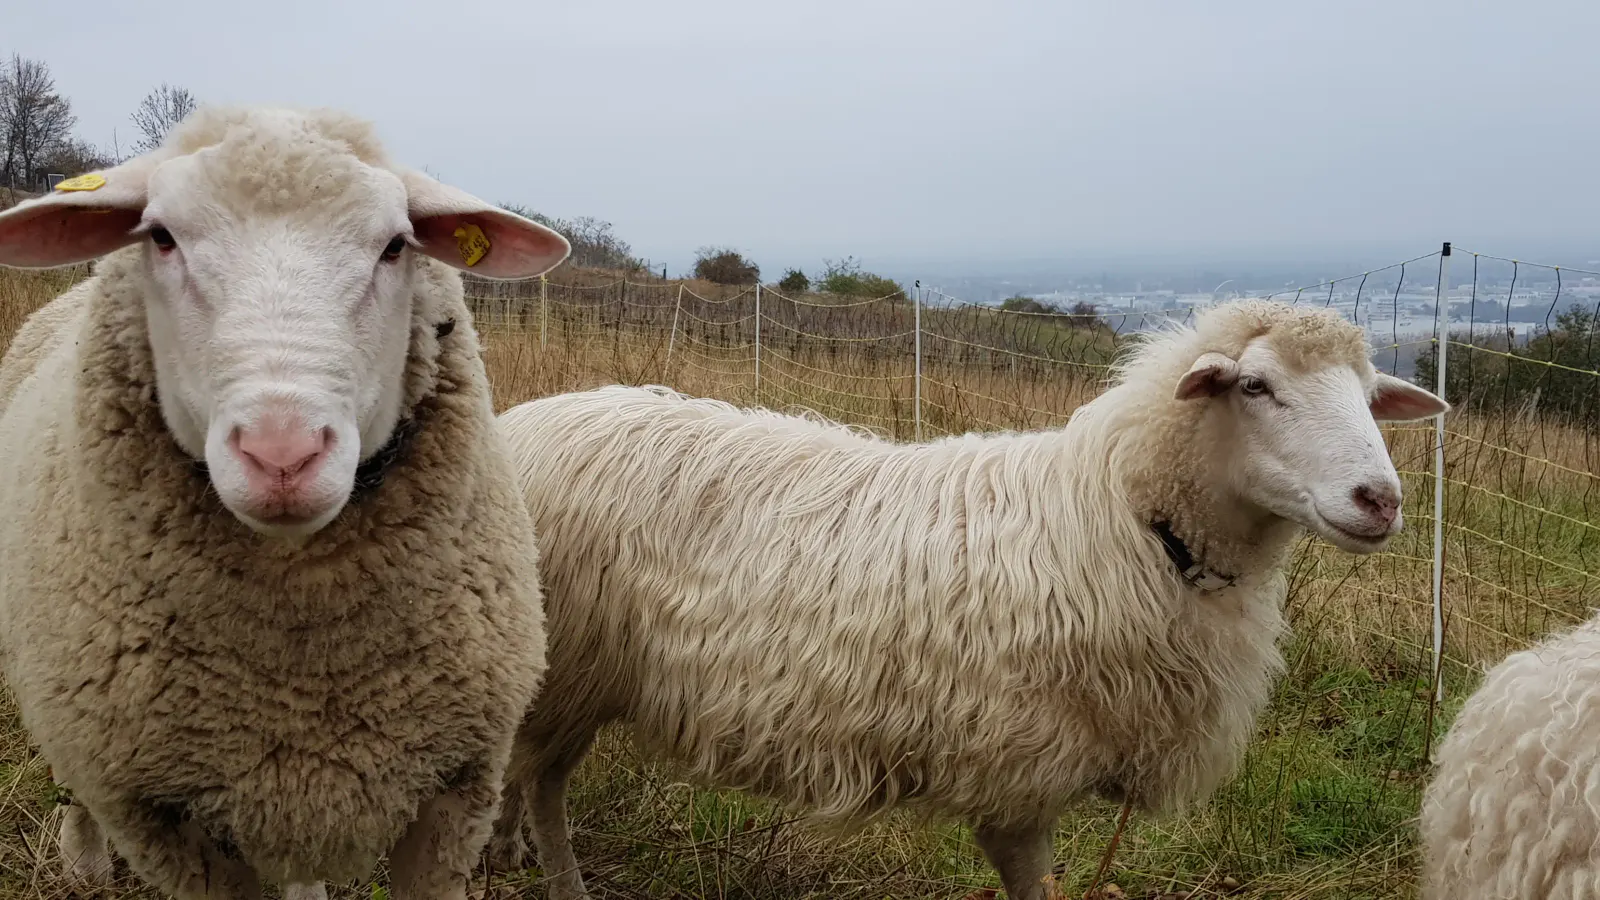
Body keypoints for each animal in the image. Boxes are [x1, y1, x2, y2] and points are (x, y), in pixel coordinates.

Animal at [0, 106, 569, 900]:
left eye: (395, 246)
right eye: (161, 237)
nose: (282, 456)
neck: (303, 664)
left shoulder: (457, 791)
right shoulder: (163, 818)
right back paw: (82, 860)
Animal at [485, 299, 1450, 900]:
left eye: (1371, 398)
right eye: (1256, 386)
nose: (1380, 500)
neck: (1126, 519)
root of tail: (517, 425)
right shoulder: (1020, 779)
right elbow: (1032, 884)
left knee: (523, 771)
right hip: (568, 665)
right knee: (537, 782)